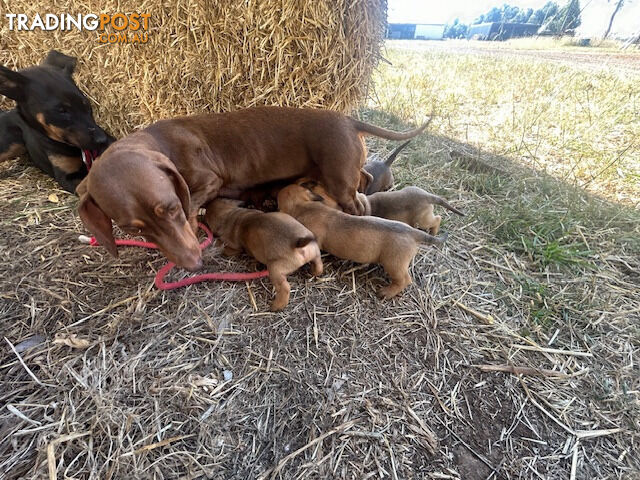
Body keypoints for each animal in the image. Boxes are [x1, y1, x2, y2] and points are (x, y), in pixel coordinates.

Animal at [77, 106, 428, 270]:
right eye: (131, 229)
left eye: (172, 208)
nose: (194, 264)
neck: (160, 144)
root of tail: (348, 120)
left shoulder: (209, 181)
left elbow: (193, 207)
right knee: (363, 181)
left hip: (338, 178)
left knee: (356, 205)